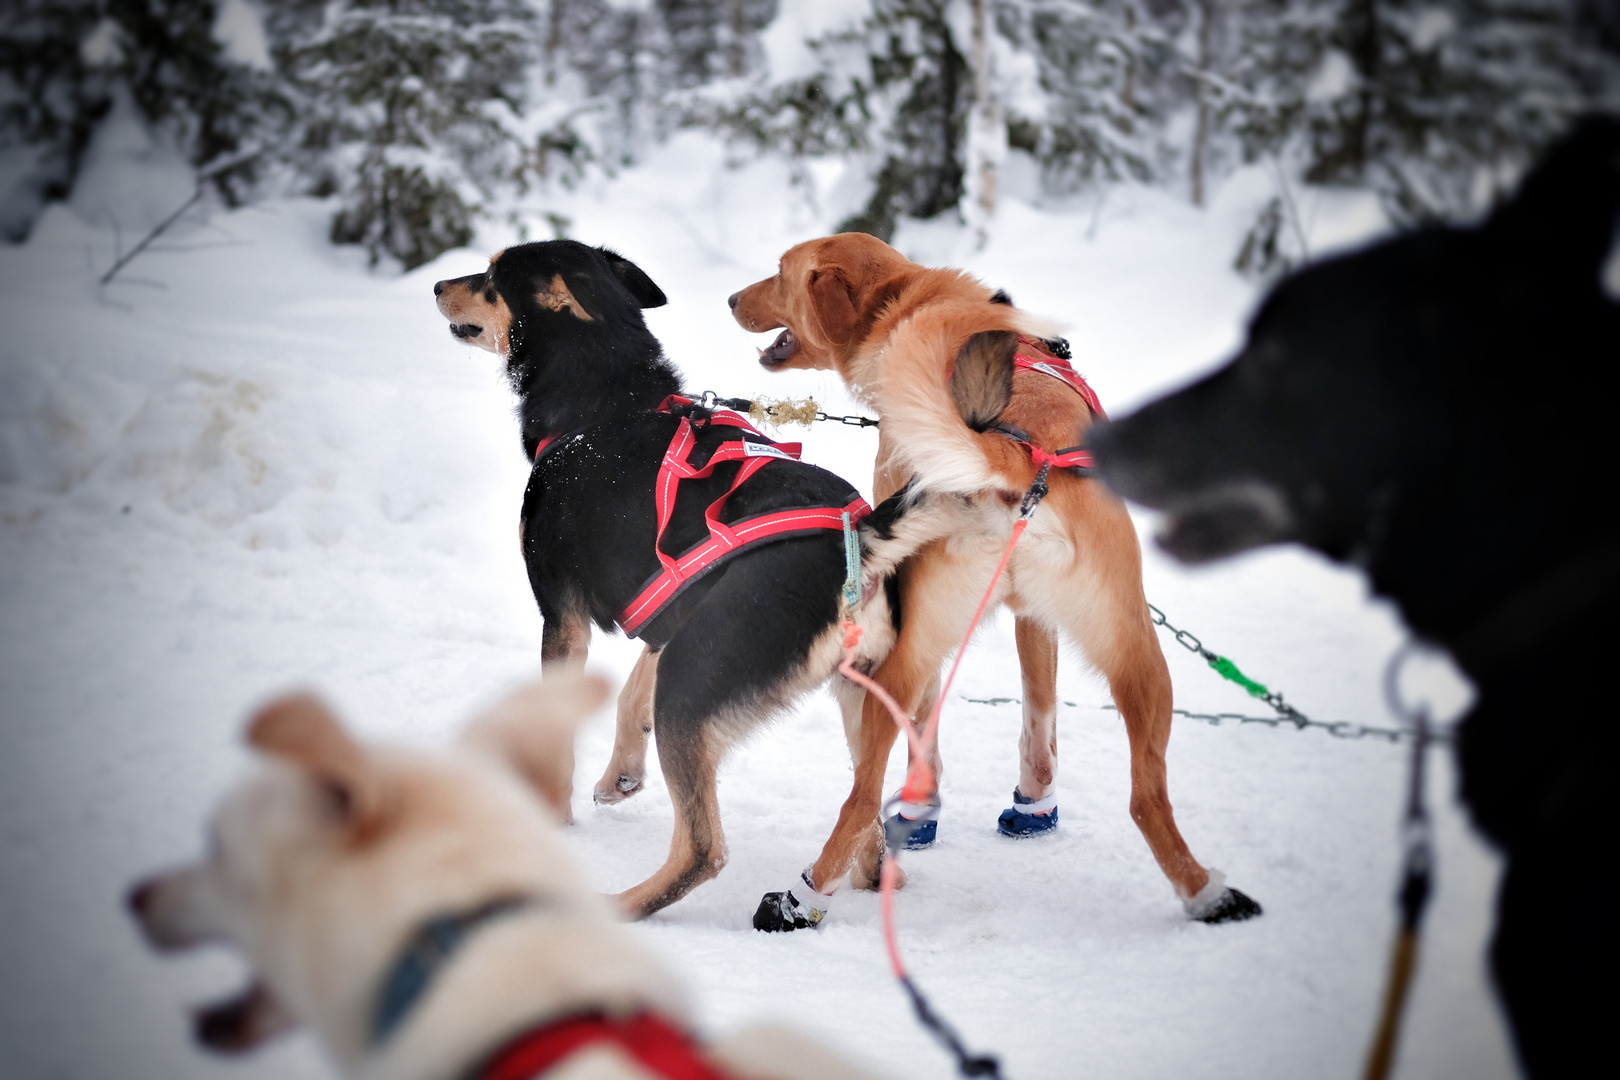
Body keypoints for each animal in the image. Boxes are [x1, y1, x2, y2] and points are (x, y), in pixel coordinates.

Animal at [430, 241, 965, 919]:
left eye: (493, 276)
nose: (438, 285)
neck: (606, 404)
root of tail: (858, 536)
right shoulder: (674, 611)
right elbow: (632, 690)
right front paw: (621, 772)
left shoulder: (564, 619)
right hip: (849, 695)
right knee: (864, 814)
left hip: (691, 685)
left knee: (703, 852)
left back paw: (619, 905)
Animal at [729, 233, 1257, 926]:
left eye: (780, 272)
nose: (731, 298)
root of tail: (1018, 455)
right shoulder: (1033, 619)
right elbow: (1039, 717)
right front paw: (1033, 807)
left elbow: (932, 732)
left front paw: (924, 812)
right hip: (1140, 658)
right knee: (1146, 799)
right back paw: (1208, 895)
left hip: (907, 659)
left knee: (862, 795)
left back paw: (802, 898)